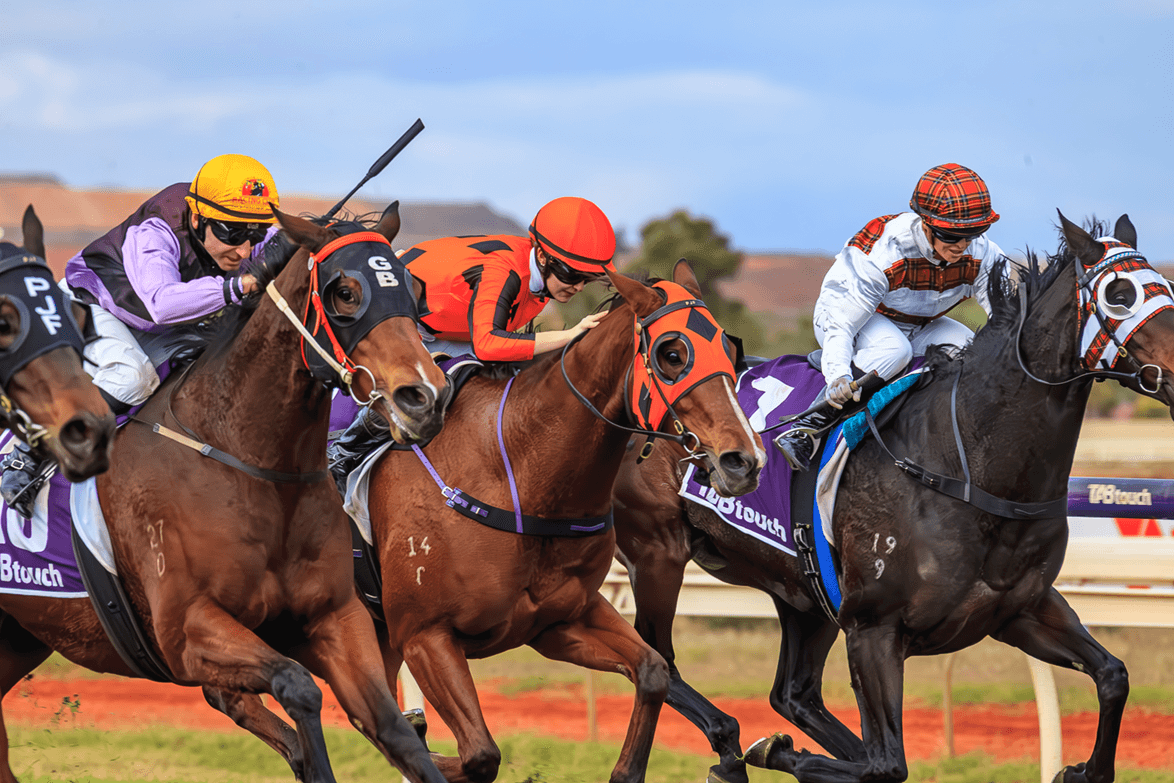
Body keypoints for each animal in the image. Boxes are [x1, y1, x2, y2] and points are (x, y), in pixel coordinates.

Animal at [350, 260, 765, 783]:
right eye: (673, 353)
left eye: (730, 349)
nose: (744, 461)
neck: (516, 476)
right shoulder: (425, 635)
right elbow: (477, 754)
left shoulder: (560, 621)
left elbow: (653, 672)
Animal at [611, 214, 1174, 783]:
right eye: (1119, 294)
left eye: (1167, 287)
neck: (967, 465)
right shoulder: (873, 629)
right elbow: (885, 766)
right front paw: (772, 751)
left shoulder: (1021, 610)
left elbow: (1114, 676)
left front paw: (1081, 770)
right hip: (657, 553)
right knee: (661, 660)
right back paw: (730, 743)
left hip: (800, 590)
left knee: (794, 694)